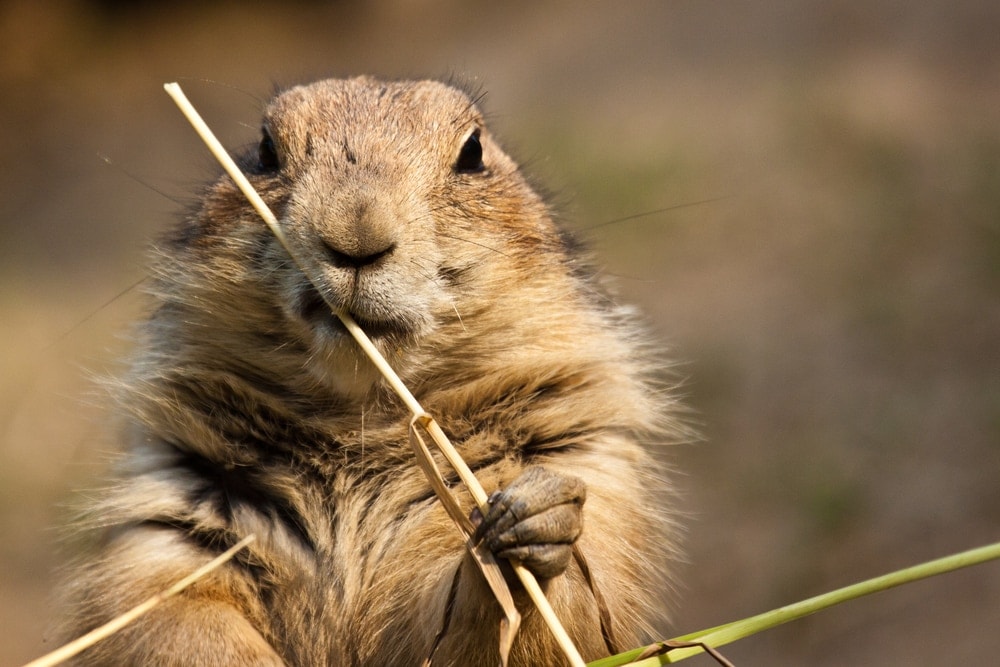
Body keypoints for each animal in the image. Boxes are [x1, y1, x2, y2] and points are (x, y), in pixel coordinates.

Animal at [58, 76, 684, 666]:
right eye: (264, 150)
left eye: (473, 152)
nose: (356, 234)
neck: (359, 415)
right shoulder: (171, 516)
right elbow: (167, 616)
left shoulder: (592, 466)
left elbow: (513, 620)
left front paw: (530, 523)